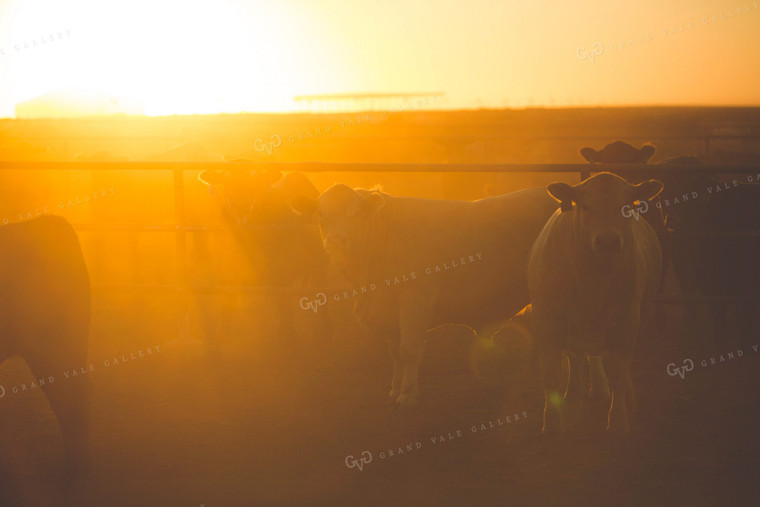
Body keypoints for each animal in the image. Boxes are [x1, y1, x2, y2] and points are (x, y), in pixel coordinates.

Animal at [197, 167, 332, 350]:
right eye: (226, 181)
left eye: (255, 182)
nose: (241, 206)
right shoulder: (227, 278)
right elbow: (226, 316)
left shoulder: (280, 280)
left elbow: (285, 316)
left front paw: (291, 343)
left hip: (318, 262)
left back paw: (325, 332)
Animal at [294, 185, 560, 406]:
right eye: (321, 215)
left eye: (356, 213)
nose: (336, 240)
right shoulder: (390, 312)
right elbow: (395, 353)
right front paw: (394, 388)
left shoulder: (415, 302)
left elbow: (409, 350)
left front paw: (407, 394)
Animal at [524, 173, 664, 434]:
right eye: (585, 205)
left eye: (626, 205)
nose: (608, 241)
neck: (592, 286)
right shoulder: (546, 322)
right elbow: (552, 374)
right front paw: (553, 423)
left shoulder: (626, 323)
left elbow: (619, 373)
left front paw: (618, 421)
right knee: (577, 358)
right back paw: (574, 395)